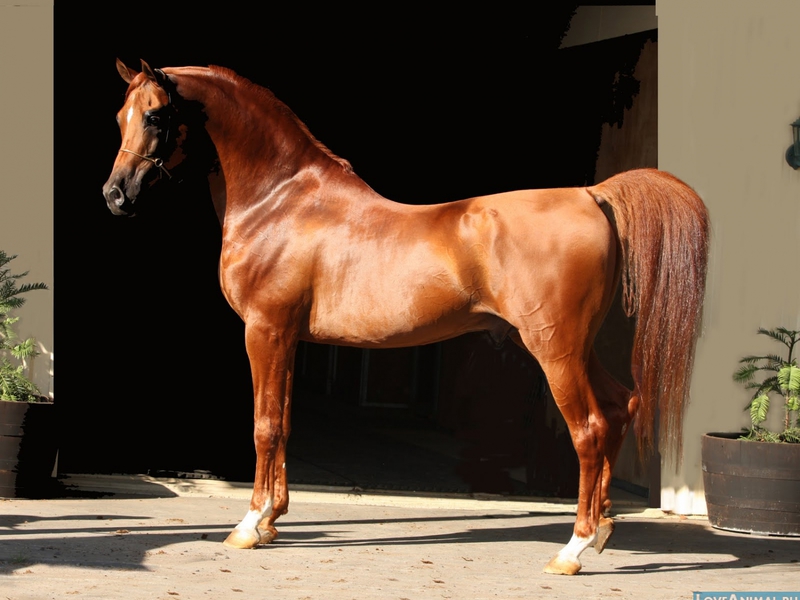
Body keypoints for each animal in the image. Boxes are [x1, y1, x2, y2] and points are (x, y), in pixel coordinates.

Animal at [102, 59, 710, 575]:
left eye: (155, 115)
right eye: (120, 116)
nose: (115, 195)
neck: (281, 201)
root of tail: (591, 194)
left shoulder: (265, 331)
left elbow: (265, 425)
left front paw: (250, 525)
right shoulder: (289, 339)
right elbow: (286, 423)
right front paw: (273, 519)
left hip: (553, 347)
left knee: (589, 429)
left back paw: (573, 549)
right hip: (570, 347)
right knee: (620, 407)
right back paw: (603, 529)